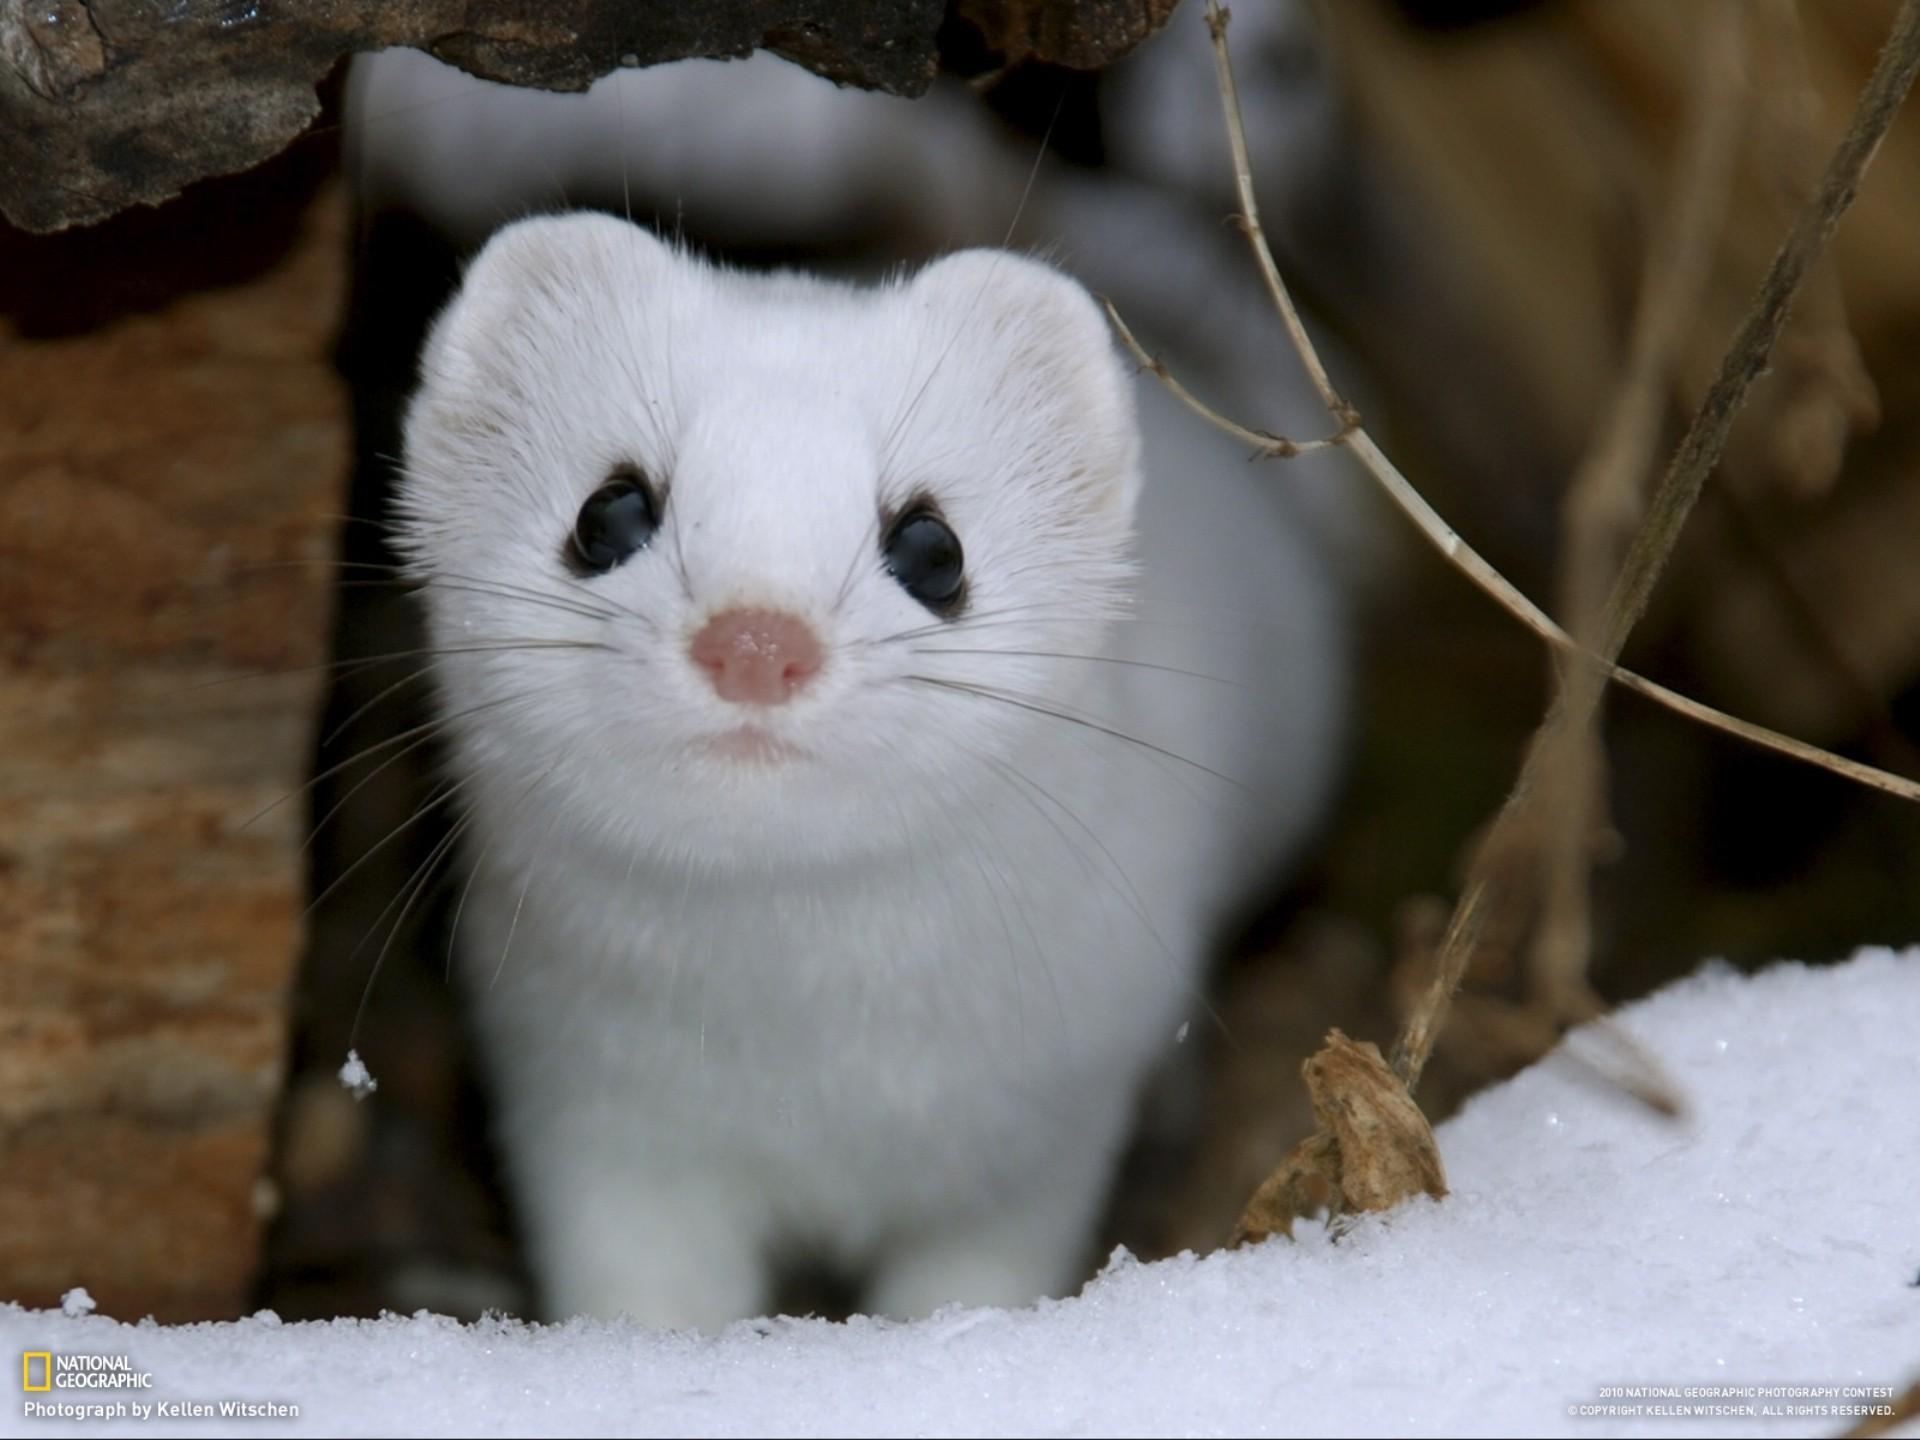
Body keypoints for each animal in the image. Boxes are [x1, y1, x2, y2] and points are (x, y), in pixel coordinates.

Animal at [397, 211, 1344, 1328]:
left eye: (934, 546)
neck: (814, 1068)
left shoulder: (1042, 1127)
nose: (757, 641)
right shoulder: (586, 1111)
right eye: (608, 511)